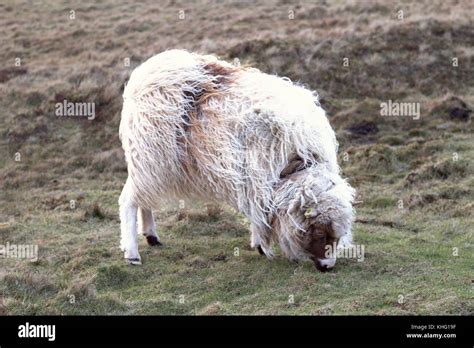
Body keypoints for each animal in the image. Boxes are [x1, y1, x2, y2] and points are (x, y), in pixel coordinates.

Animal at [118, 49, 356, 272]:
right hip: (150, 156)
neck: (296, 163)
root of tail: (148, 69)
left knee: (143, 198)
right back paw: (132, 253)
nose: (328, 266)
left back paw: (151, 236)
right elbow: (258, 210)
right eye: (319, 231)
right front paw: (261, 244)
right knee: (128, 199)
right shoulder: (255, 177)